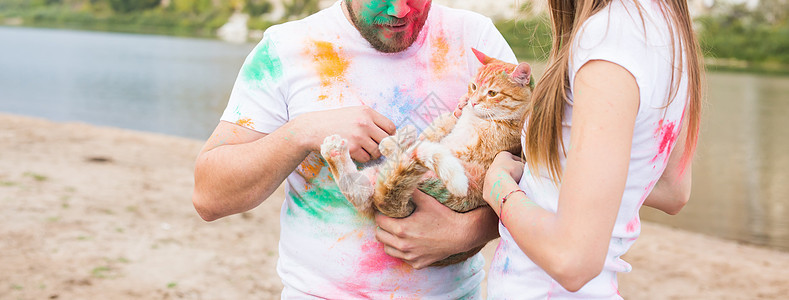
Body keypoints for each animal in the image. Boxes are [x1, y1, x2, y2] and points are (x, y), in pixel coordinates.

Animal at [318, 48, 532, 264]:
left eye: (492, 93)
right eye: (473, 86)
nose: (473, 102)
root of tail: (389, 205)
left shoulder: (468, 151)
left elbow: (433, 145)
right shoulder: (447, 125)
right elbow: (436, 128)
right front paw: (394, 141)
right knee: (361, 191)